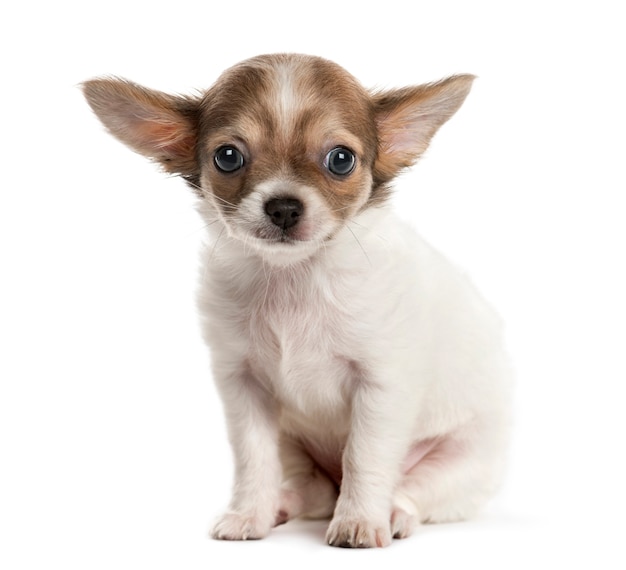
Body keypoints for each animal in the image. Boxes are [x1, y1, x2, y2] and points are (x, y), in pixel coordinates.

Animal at [83, 54, 510, 544]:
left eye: (341, 160)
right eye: (227, 157)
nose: (283, 207)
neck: (293, 279)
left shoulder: (382, 386)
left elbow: (365, 456)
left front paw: (359, 521)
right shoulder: (243, 385)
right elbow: (254, 458)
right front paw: (249, 514)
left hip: (461, 465)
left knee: (410, 491)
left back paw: (391, 515)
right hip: (296, 447)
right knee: (315, 490)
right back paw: (280, 505)